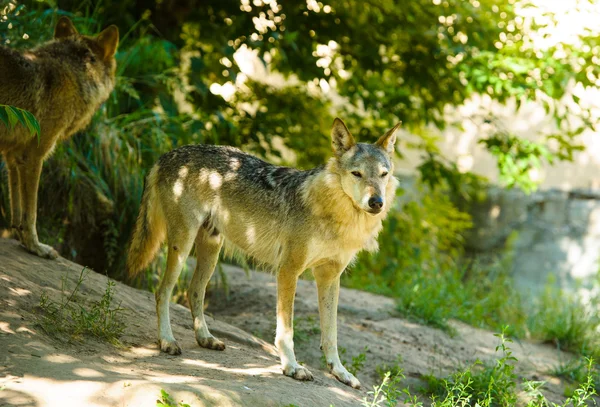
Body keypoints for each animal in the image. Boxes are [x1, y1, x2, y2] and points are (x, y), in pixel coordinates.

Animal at [0, 17, 118, 260]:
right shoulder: (34, 157)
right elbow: (31, 213)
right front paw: (36, 247)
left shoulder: (13, 156)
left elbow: (17, 208)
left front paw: (22, 240)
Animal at [126, 118, 398, 388]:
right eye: (357, 174)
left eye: (383, 175)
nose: (377, 202)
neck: (335, 215)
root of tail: (168, 154)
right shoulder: (288, 270)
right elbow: (286, 331)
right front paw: (292, 367)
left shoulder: (329, 277)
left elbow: (331, 334)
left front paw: (339, 371)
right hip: (182, 245)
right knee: (162, 292)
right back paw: (167, 341)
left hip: (211, 252)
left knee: (194, 291)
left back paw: (206, 338)